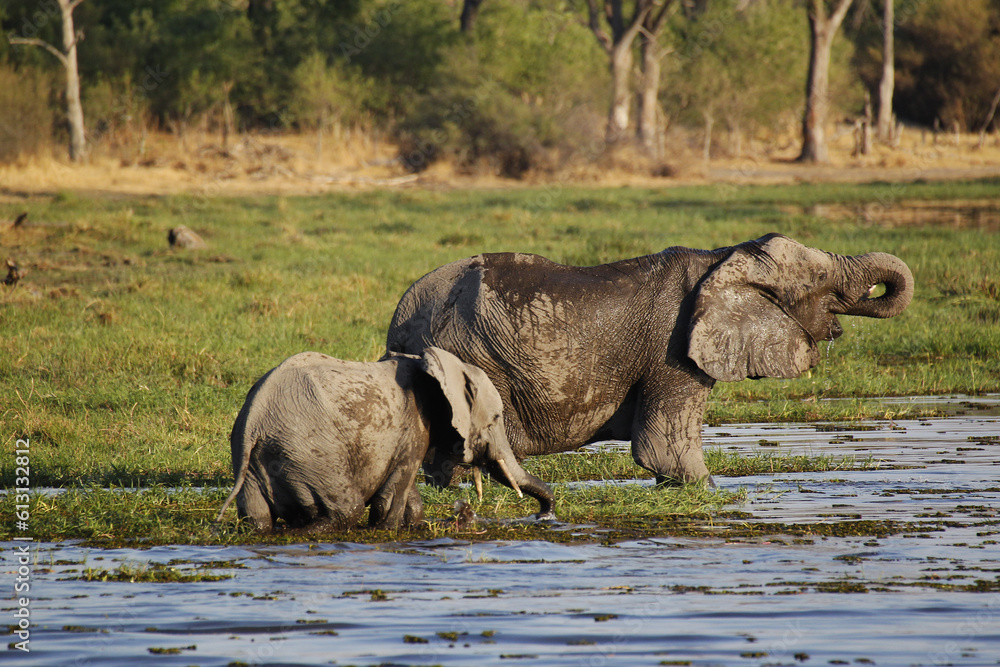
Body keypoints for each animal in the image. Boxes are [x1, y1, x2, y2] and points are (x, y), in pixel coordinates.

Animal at [215, 347, 554, 531]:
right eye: (496, 418)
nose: (544, 514)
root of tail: (253, 420)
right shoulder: (415, 422)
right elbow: (394, 491)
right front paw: (387, 529)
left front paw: (415, 523)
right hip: (307, 452)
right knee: (346, 510)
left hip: (256, 460)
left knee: (258, 519)